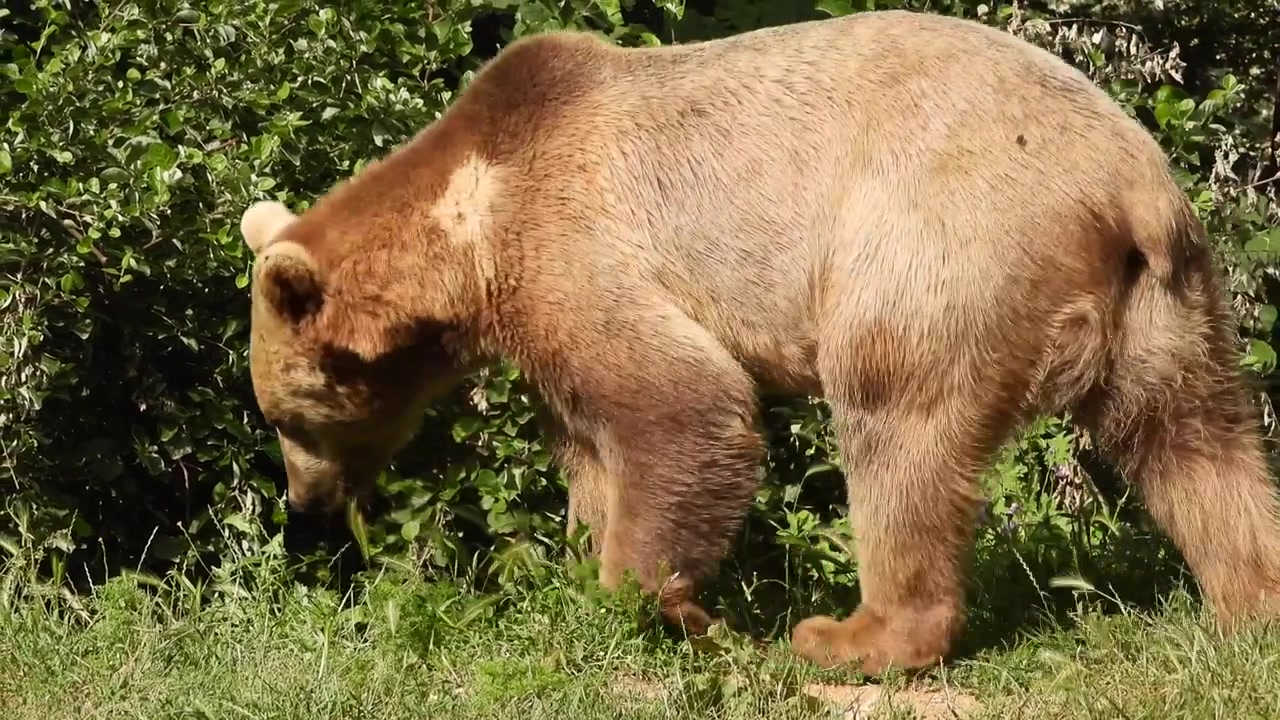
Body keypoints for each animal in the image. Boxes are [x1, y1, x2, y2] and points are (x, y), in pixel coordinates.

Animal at [237, 8, 1280, 675]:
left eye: (291, 418)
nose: (304, 501)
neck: (469, 231)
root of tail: (1128, 182)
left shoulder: (579, 242)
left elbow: (682, 406)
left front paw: (661, 605)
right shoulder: (545, 311)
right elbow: (591, 444)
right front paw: (578, 567)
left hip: (938, 246)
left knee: (895, 426)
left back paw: (853, 638)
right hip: (1169, 304)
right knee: (1195, 442)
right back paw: (1249, 602)